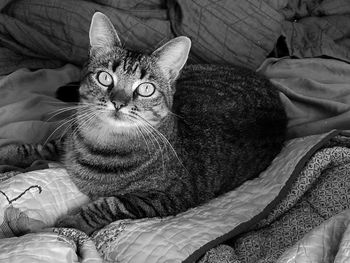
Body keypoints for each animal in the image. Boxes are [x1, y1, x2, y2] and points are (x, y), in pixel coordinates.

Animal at [0, 11, 288, 235]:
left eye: (146, 89)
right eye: (105, 78)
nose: (118, 102)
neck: (101, 139)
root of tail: (268, 84)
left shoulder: (164, 199)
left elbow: (108, 205)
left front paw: (63, 224)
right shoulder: (69, 137)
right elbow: (40, 147)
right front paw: (9, 152)